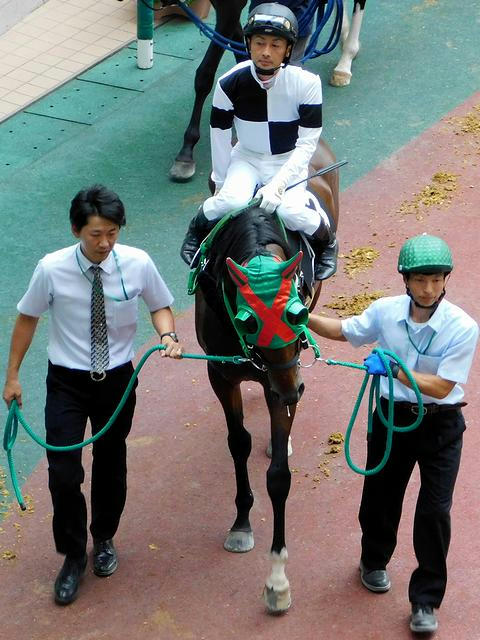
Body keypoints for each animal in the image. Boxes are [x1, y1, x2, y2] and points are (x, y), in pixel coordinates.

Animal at [193, 139, 340, 608]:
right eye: (247, 320)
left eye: (296, 314)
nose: (292, 390)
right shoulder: (221, 373)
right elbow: (237, 442)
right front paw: (242, 523)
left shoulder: (285, 375)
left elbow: (279, 475)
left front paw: (277, 579)